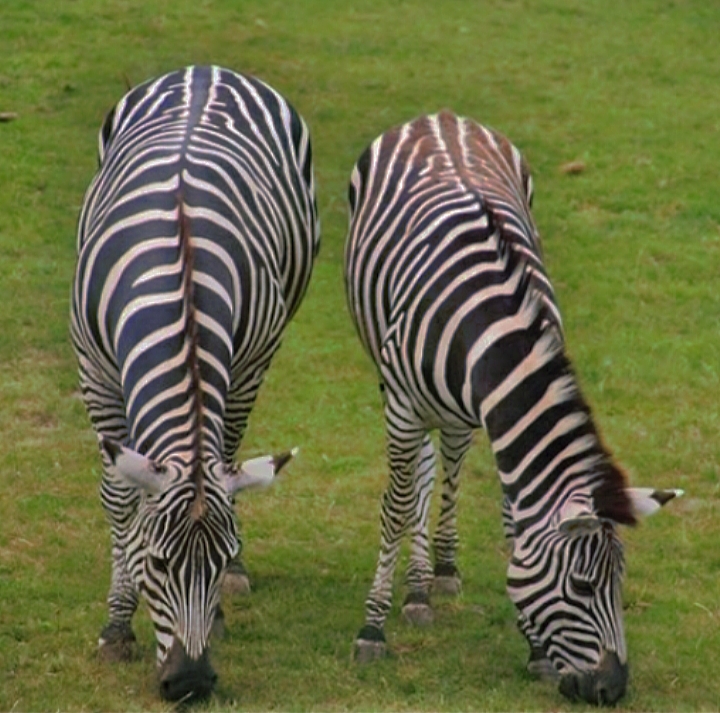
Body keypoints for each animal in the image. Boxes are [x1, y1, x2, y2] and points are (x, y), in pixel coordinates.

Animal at [71, 66, 319, 702]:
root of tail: (207, 70)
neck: (180, 283)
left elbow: (226, 455)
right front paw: (117, 626)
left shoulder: (249, 364)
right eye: (157, 563)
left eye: (216, 559)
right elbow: (119, 497)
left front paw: (226, 596)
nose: (191, 684)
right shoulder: (95, 371)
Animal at [344, 110, 681, 705]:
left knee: (446, 460)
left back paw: (436, 574)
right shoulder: (403, 405)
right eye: (583, 585)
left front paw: (536, 651)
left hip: (454, 409)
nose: (611, 690)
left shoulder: (501, 418)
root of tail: (440, 115)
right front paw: (372, 628)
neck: (489, 328)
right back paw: (415, 589)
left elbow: (507, 516)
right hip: (397, 385)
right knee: (416, 477)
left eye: (620, 583)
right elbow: (395, 505)